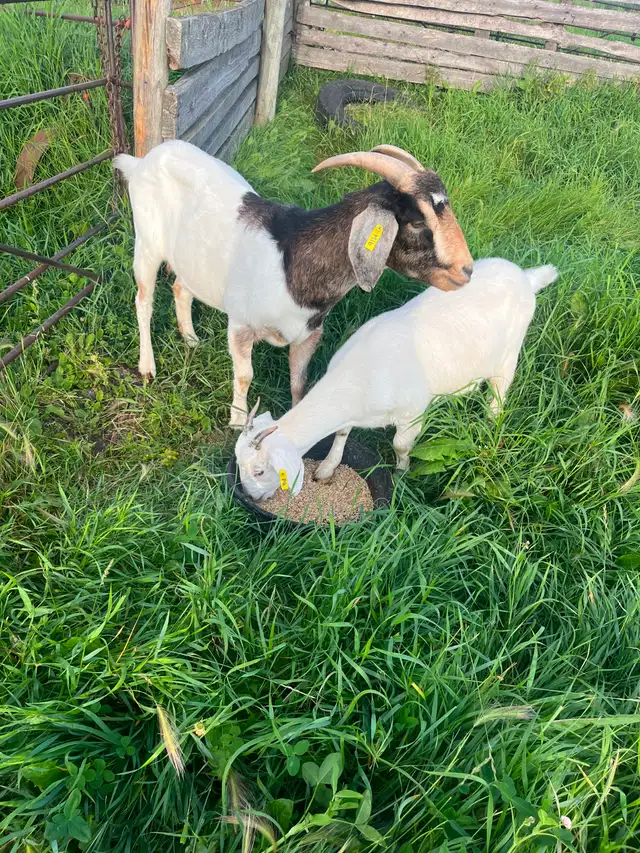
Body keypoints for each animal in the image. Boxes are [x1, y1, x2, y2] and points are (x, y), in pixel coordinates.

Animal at [113, 141, 473, 427]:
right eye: (416, 221)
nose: (466, 270)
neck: (292, 262)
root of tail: (143, 161)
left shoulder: (310, 334)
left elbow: (299, 380)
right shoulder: (241, 325)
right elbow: (245, 376)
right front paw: (237, 421)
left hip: (192, 259)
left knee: (181, 288)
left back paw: (190, 339)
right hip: (147, 244)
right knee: (143, 301)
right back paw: (147, 366)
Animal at [235, 257, 558, 501]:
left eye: (260, 470)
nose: (249, 497)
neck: (360, 374)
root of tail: (526, 277)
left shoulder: (412, 413)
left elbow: (401, 445)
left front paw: (402, 474)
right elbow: (341, 434)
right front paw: (326, 471)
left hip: (509, 354)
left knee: (499, 395)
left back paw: (490, 426)